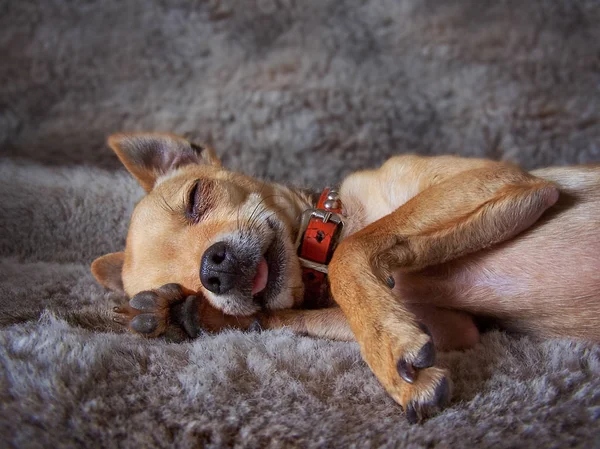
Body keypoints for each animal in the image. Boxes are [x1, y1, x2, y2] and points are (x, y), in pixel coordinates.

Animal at [91, 131, 596, 422]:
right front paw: (183, 312)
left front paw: (389, 351)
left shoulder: (498, 180)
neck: (329, 235)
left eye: (196, 196)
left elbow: (349, 259)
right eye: (193, 284)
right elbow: (300, 313)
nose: (210, 271)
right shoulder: (449, 325)